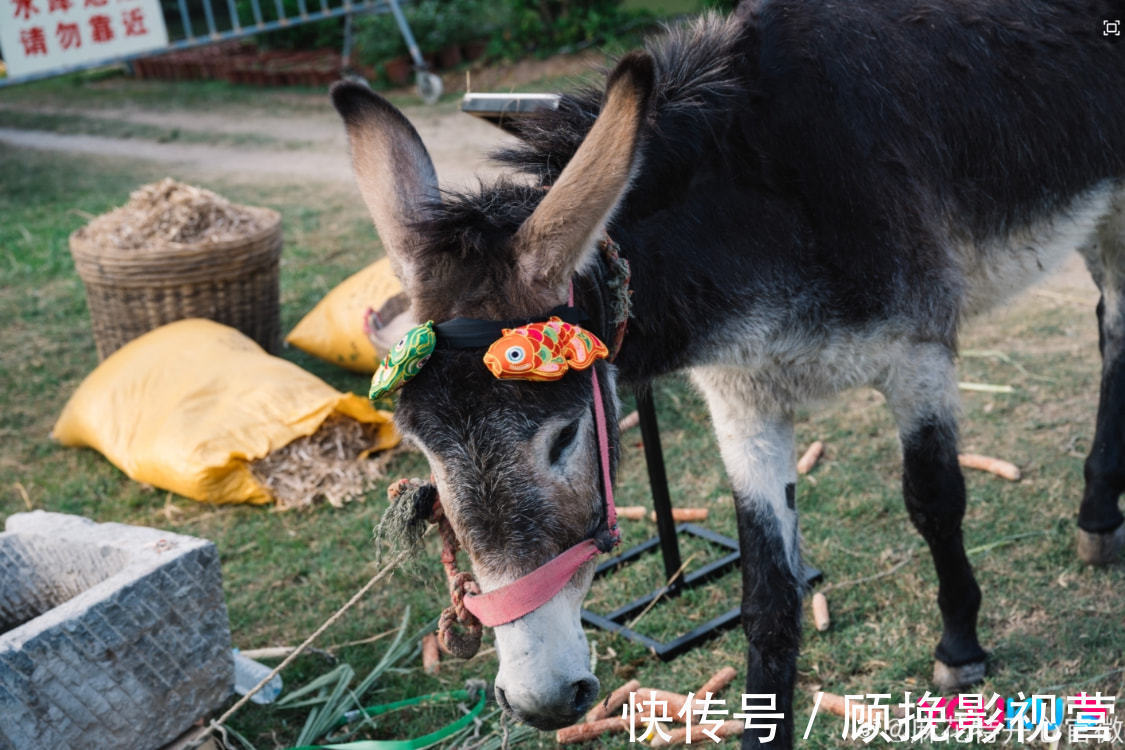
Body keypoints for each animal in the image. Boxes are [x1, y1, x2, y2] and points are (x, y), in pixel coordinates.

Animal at [332, 1, 1125, 745]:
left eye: (564, 436)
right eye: (424, 453)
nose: (540, 700)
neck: (760, 200)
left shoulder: (917, 354)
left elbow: (934, 501)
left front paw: (959, 647)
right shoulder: (742, 399)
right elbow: (767, 595)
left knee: (1115, 332)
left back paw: (1097, 518)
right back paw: (1098, 514)